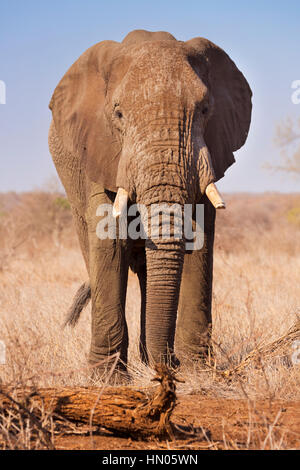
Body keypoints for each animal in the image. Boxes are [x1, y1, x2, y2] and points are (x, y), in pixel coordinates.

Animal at [48, 28, 252, 378]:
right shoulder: (99, 149)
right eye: (118, 114)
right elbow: (108, 239)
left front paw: (197, 371)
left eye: (204, 110)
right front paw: (108, 380)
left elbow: (201, 236)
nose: (170, 365)